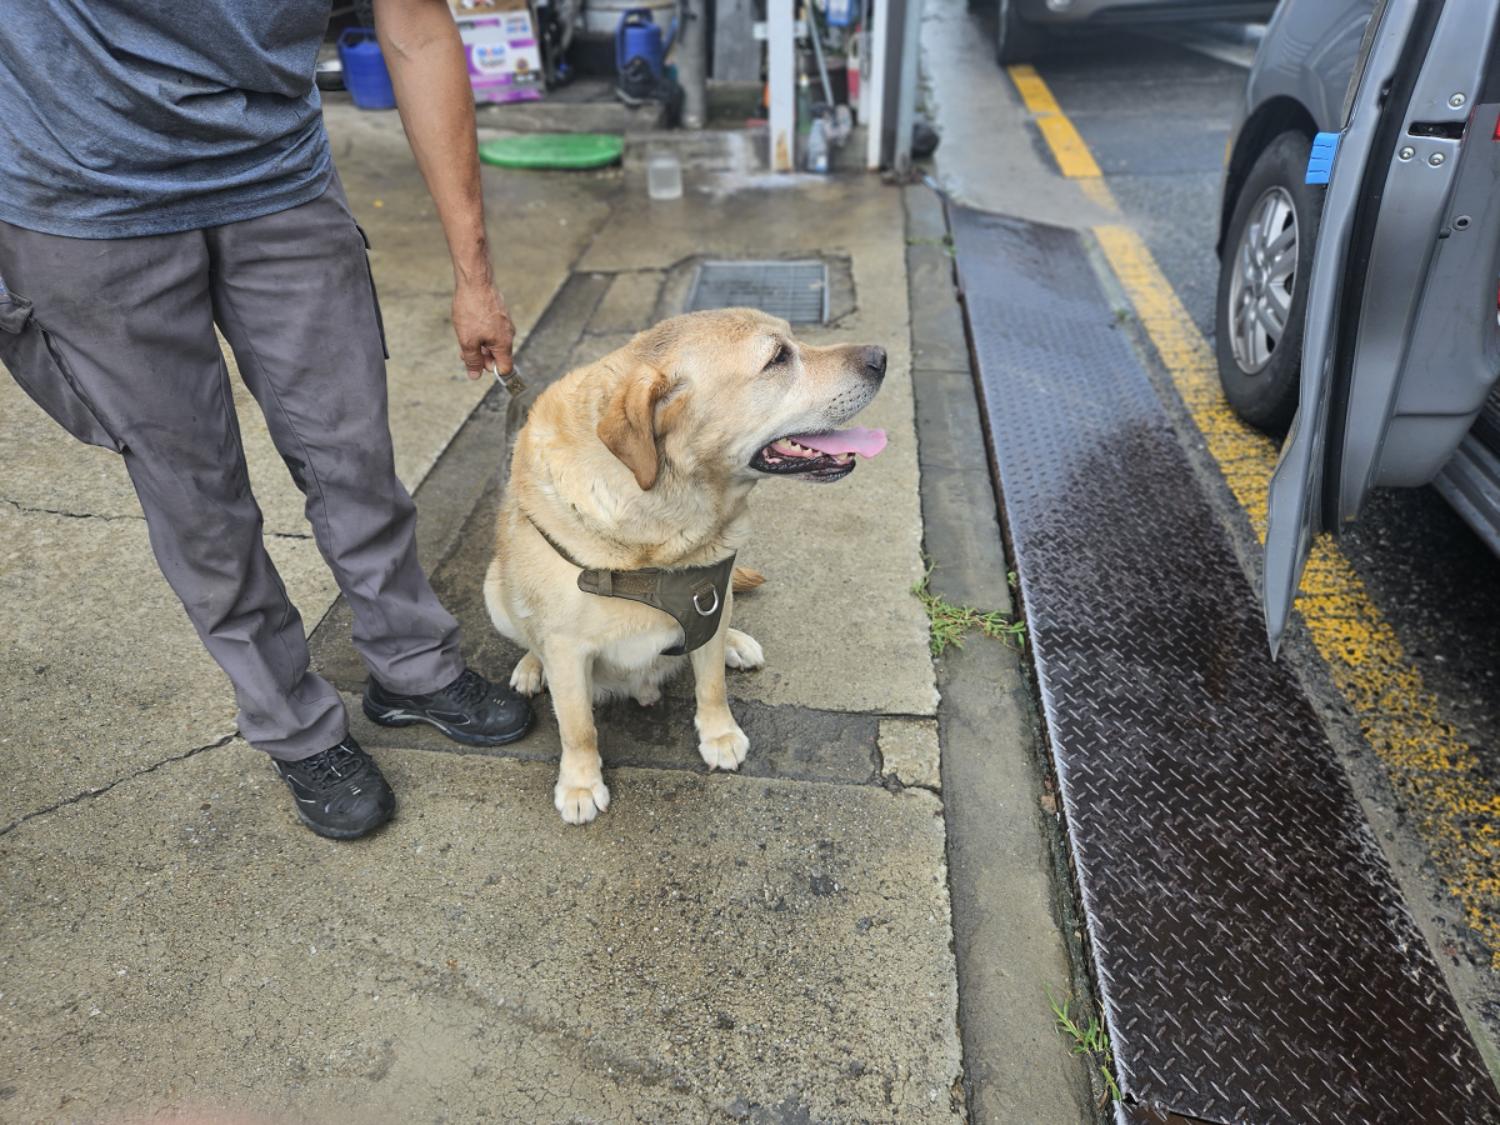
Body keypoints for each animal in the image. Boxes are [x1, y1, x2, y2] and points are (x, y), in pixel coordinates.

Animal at [480, 313, 882, 822]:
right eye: (777, 357)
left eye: (794, 339)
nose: (882, 357)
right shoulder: (567, 651)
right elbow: (578, 727)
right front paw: (579, 783)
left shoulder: (708, 603)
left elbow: (711, 686)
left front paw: (719, 735)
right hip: (494, 590)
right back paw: (532, 667)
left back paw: (735, 644)